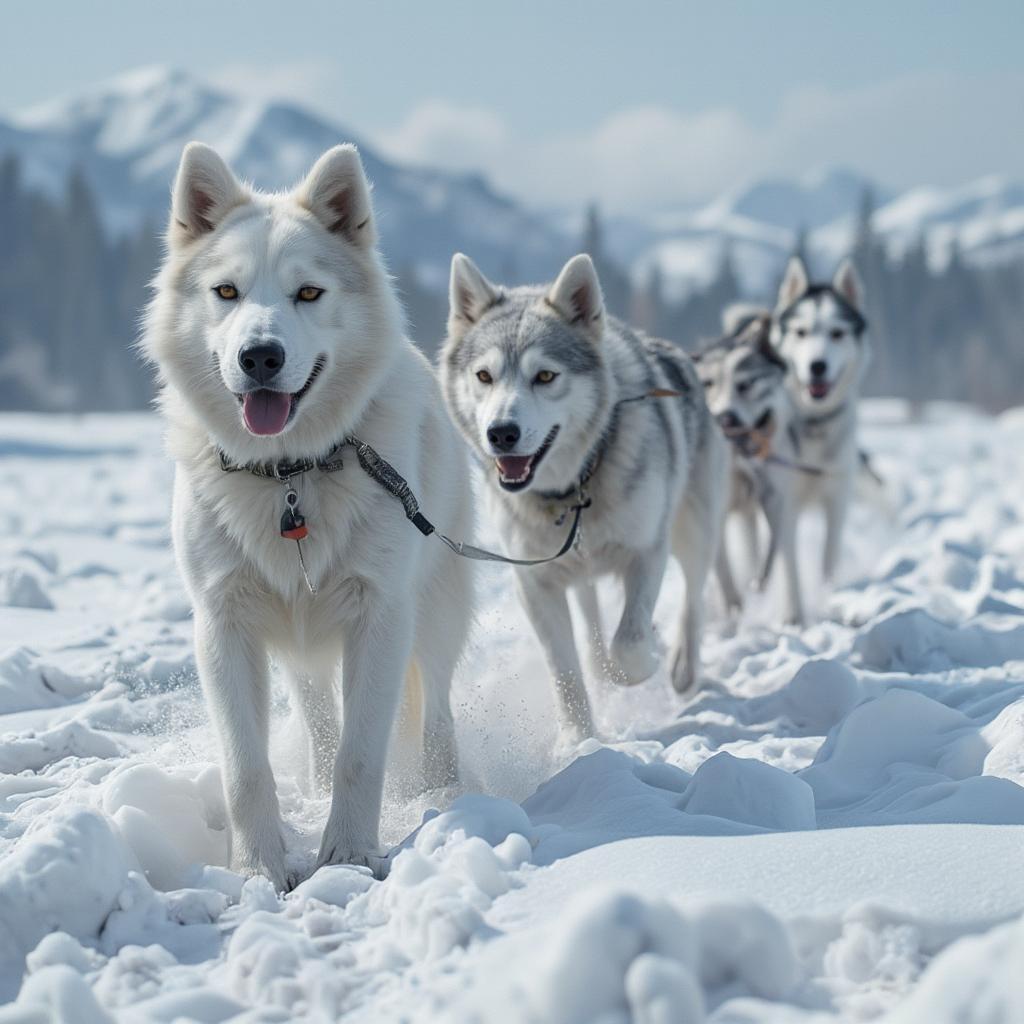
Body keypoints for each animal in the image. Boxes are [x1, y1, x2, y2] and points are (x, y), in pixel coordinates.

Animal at [142, 142, 473, 888]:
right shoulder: (223, 625)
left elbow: (362, 754)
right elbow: (246, 768)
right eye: (226, 292)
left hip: (434, 613)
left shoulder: (381, 617)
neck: (288, 475)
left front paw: (346, 857)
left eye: (309, 294)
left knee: (438, 710)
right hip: (298, 646)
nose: (260, 356)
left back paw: (442, 794)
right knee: (320, 717)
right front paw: (259, 871)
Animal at [440, 253, 729, 737]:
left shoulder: (647, 550)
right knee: (592, 624)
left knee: (692, 601)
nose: (501, 433)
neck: (574, 487)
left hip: (696, 532)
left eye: (545, 376)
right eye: (484, 376)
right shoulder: (535, 583)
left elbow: (629, 646)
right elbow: (566, 672)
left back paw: (682, 666)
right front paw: (579, 740)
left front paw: (646, 657)